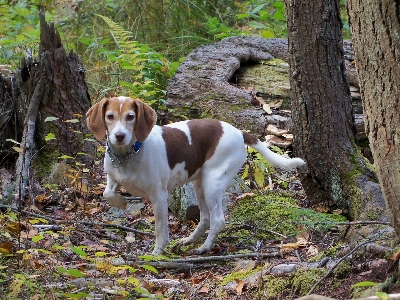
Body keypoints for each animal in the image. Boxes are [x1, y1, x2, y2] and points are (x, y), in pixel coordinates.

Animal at [86, 97, 306, 254]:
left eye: (131, 116)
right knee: (206, 218)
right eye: (110, 116)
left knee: (217, 220)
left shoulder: (159, 197)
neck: (129, 154)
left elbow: (160, 230)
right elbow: (107, 193)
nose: (119, 136)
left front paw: (157, 252)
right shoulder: (112, 178)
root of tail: (239, 132)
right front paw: (121, 202)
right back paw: (191, 240)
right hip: (200, 185)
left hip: (213, 183)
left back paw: (205, 247)